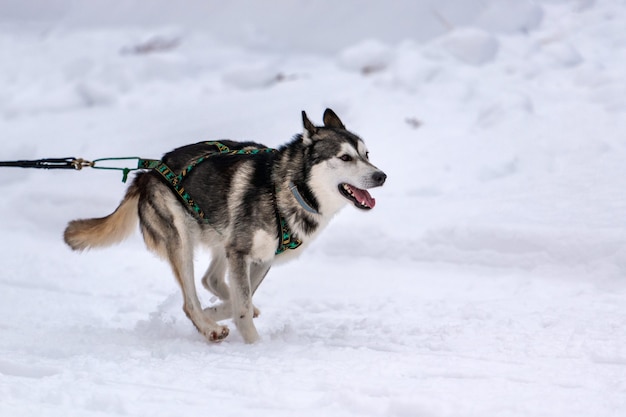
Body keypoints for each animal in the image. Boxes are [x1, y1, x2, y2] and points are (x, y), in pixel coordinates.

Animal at [63, 109, 386, 342]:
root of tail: (149, 172)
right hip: (183, 240)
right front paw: (254, 345)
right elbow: (241, 304)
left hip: (222, 237)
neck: (287, 188)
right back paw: (209, 328)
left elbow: (243, 298)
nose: (381, 176)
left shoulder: (259, 257)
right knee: (190, 299)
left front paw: (224, 311)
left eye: (367, 154)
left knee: (211, 280)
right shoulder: (241, 252)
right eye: (345, 157)